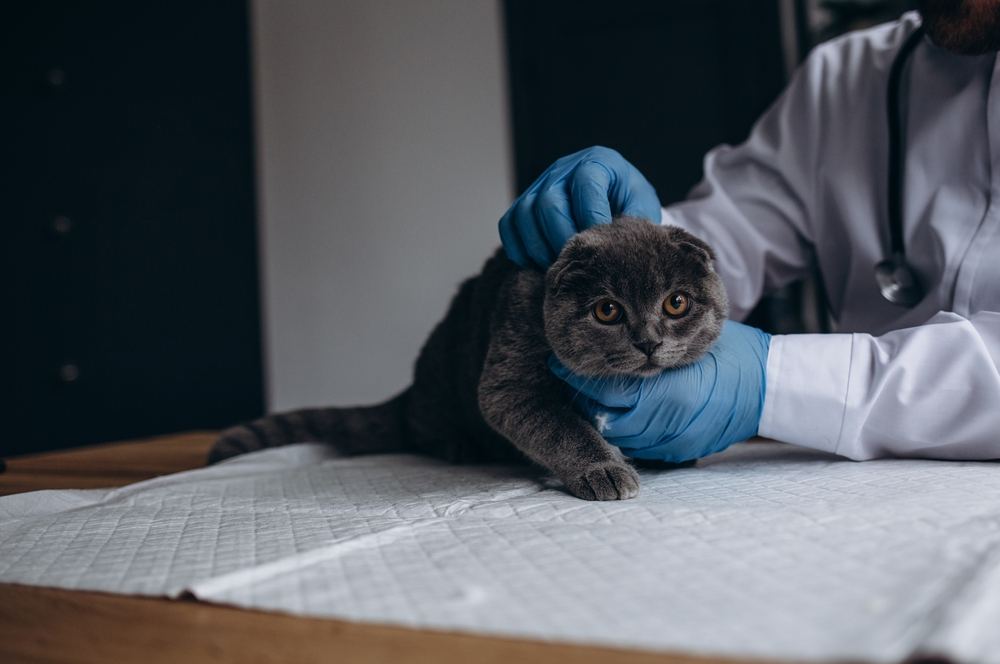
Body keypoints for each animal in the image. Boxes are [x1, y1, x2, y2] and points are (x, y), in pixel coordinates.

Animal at [211, 220, 728, 500]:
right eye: (607, 310)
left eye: (676, 303)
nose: (648, 341)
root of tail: (409, 392)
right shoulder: (510, 374)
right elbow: (560, 425)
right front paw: (603, 469)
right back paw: (458, 445)